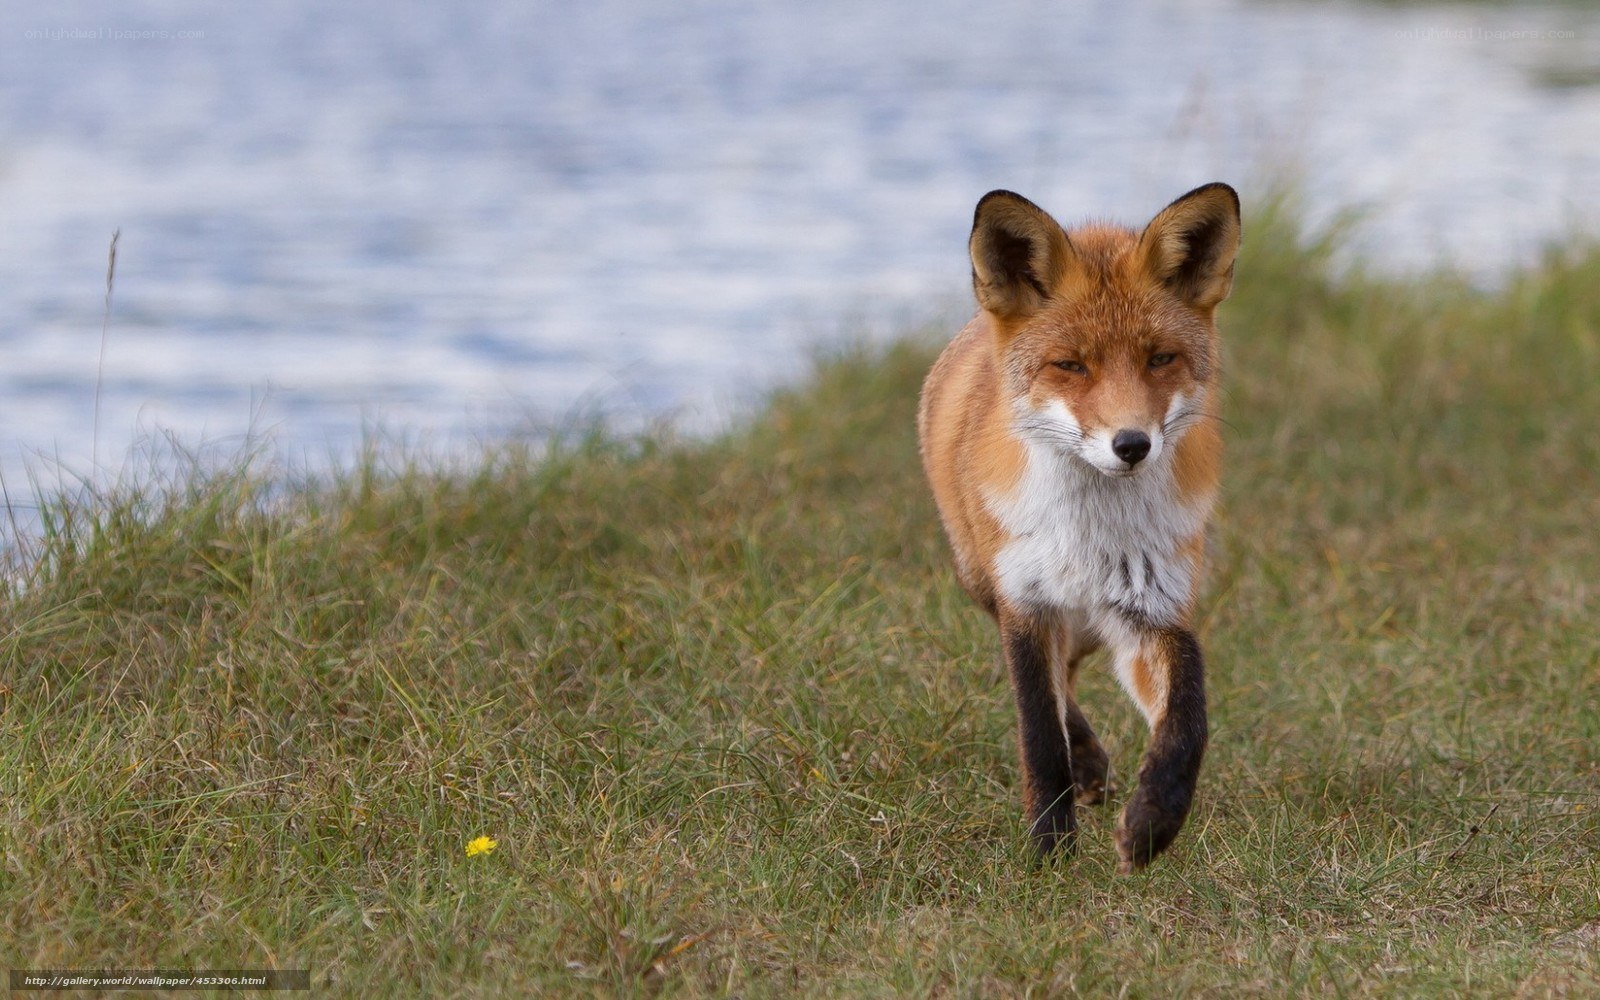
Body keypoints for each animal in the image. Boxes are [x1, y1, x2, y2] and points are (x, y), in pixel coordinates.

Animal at [917, 183, 1241, 872]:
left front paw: (1153, 822)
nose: (1132, 444)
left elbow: (1188, 718)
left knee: (1069, 674)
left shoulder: (1153, 610)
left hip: (1090, 625)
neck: (1092, 537)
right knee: (1056, 689)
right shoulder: (1025, 603)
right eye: (1071, 365)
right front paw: (1048, 854)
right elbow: (1039, 733)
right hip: (982, 580)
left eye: (1160, 358)